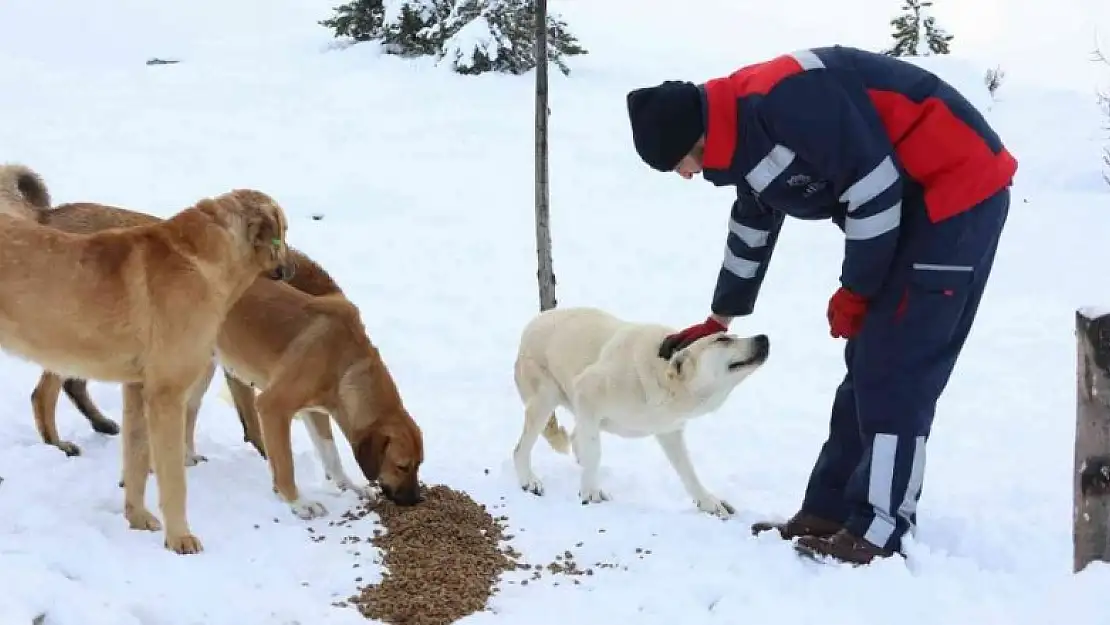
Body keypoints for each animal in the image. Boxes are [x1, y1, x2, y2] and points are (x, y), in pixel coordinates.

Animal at [0, 160, 293, 552]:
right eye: (284, 230)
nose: (290, 269)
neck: (205, 260)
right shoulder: (166, 395)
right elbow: (173, 478)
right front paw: (180, 539)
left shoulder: (137, 390)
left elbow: (137, 461)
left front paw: (137, 519)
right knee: (45, 395)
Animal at [24, 195, 424, 519]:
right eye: (403, 466)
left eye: (418, 465)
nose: (416, 500)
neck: (347, 359)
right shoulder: (274, 407)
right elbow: (284, 462)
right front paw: (296, 502)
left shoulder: (315, 410)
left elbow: (331, 454)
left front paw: (346, 485)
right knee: (49, 392)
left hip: (198, 366)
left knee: (184, 413)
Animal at [512, 308, 768, 519]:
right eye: (722, 339)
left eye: (731, 336)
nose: (763, 338)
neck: (664, 381)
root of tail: (532, 324)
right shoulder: (586, 391)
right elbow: (595, 452)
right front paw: (590, 492)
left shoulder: (669, 431)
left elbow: (688, 471)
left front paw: (708, 502)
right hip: (545, 399)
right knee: (521, 449)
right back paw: (529, 480)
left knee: (576, 437)